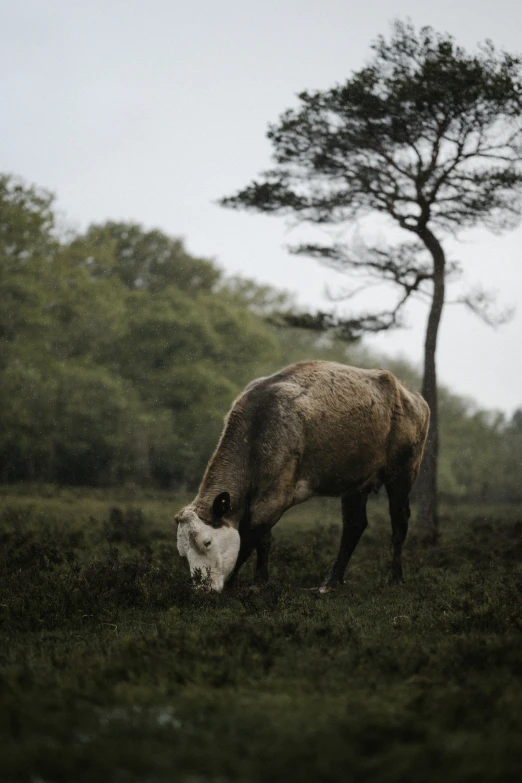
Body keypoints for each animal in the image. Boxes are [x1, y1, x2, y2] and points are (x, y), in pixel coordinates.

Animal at [175, 362, 426, 596]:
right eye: (182, 553)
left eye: (207, 542)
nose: (201, 589)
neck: (258, 426)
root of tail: (409, 394)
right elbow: (263, 540)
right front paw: (259, 583)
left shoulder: (276, 496)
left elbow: (249, 537)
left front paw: (233, 584)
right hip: (356, 481)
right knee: (354, 525)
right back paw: (330, 583)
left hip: (402, 472)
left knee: (399, 521)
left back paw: (394, 578)